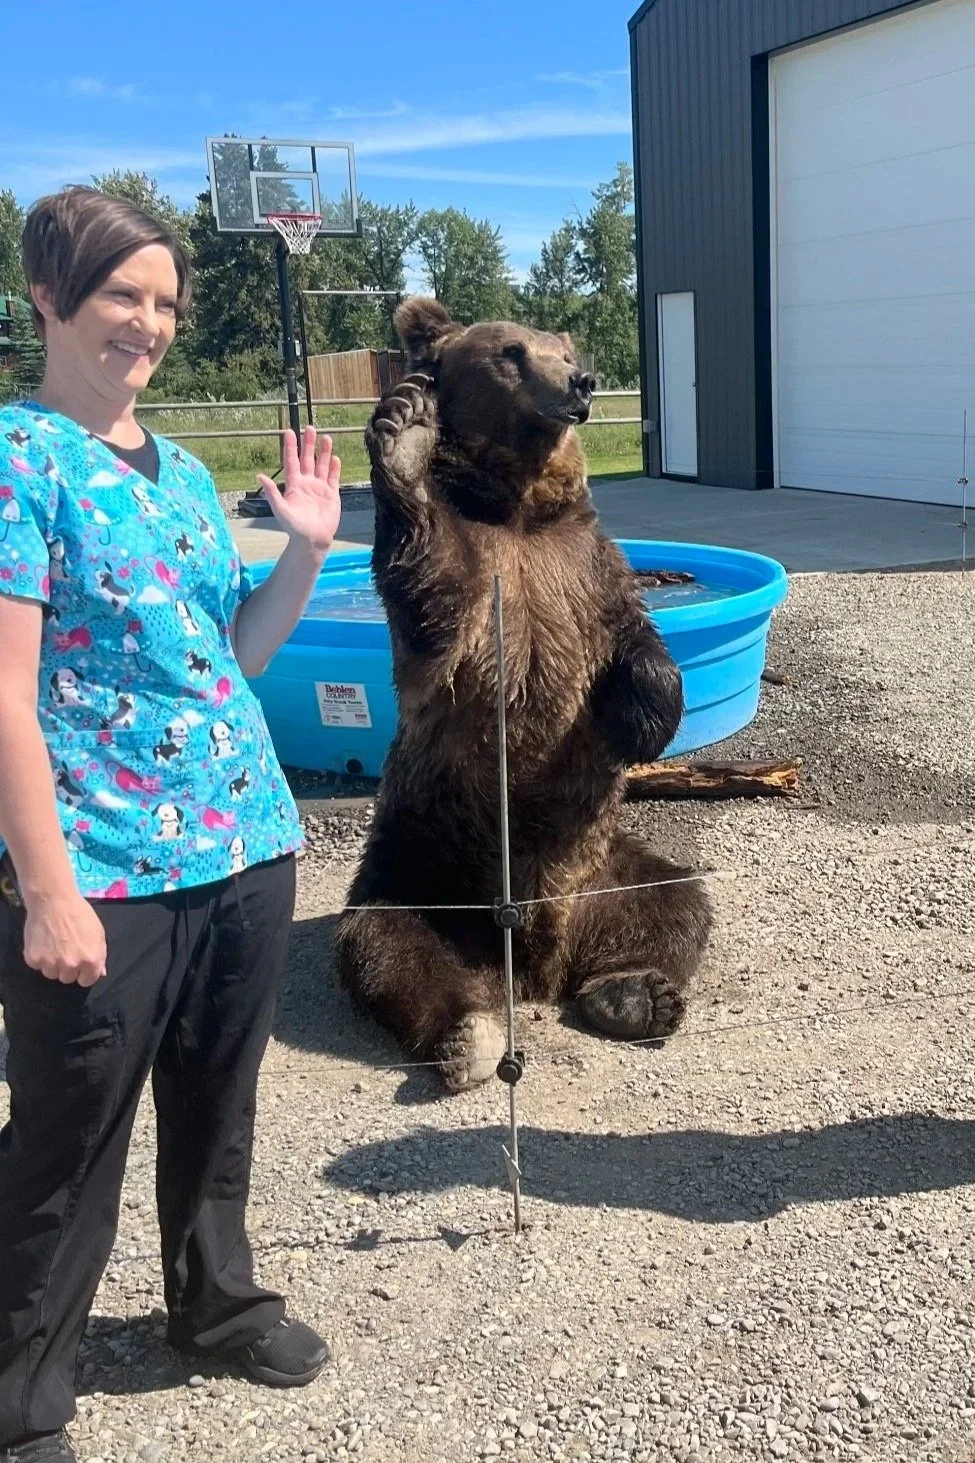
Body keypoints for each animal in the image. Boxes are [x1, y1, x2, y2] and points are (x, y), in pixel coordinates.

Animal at [334, 297, 713, 1093]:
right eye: (509, 351)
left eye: (563, 348)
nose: (580, 380)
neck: (516, 508)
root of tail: (535, 968)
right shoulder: (474, 582)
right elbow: (429, 591)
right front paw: (405, 432)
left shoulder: (586, 567)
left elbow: (639, 642)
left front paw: (641, 720)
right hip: (425, 864)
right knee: (387, 942)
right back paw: (467, 1035)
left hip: (602, 864)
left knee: (674, 900)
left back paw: (635, 993)